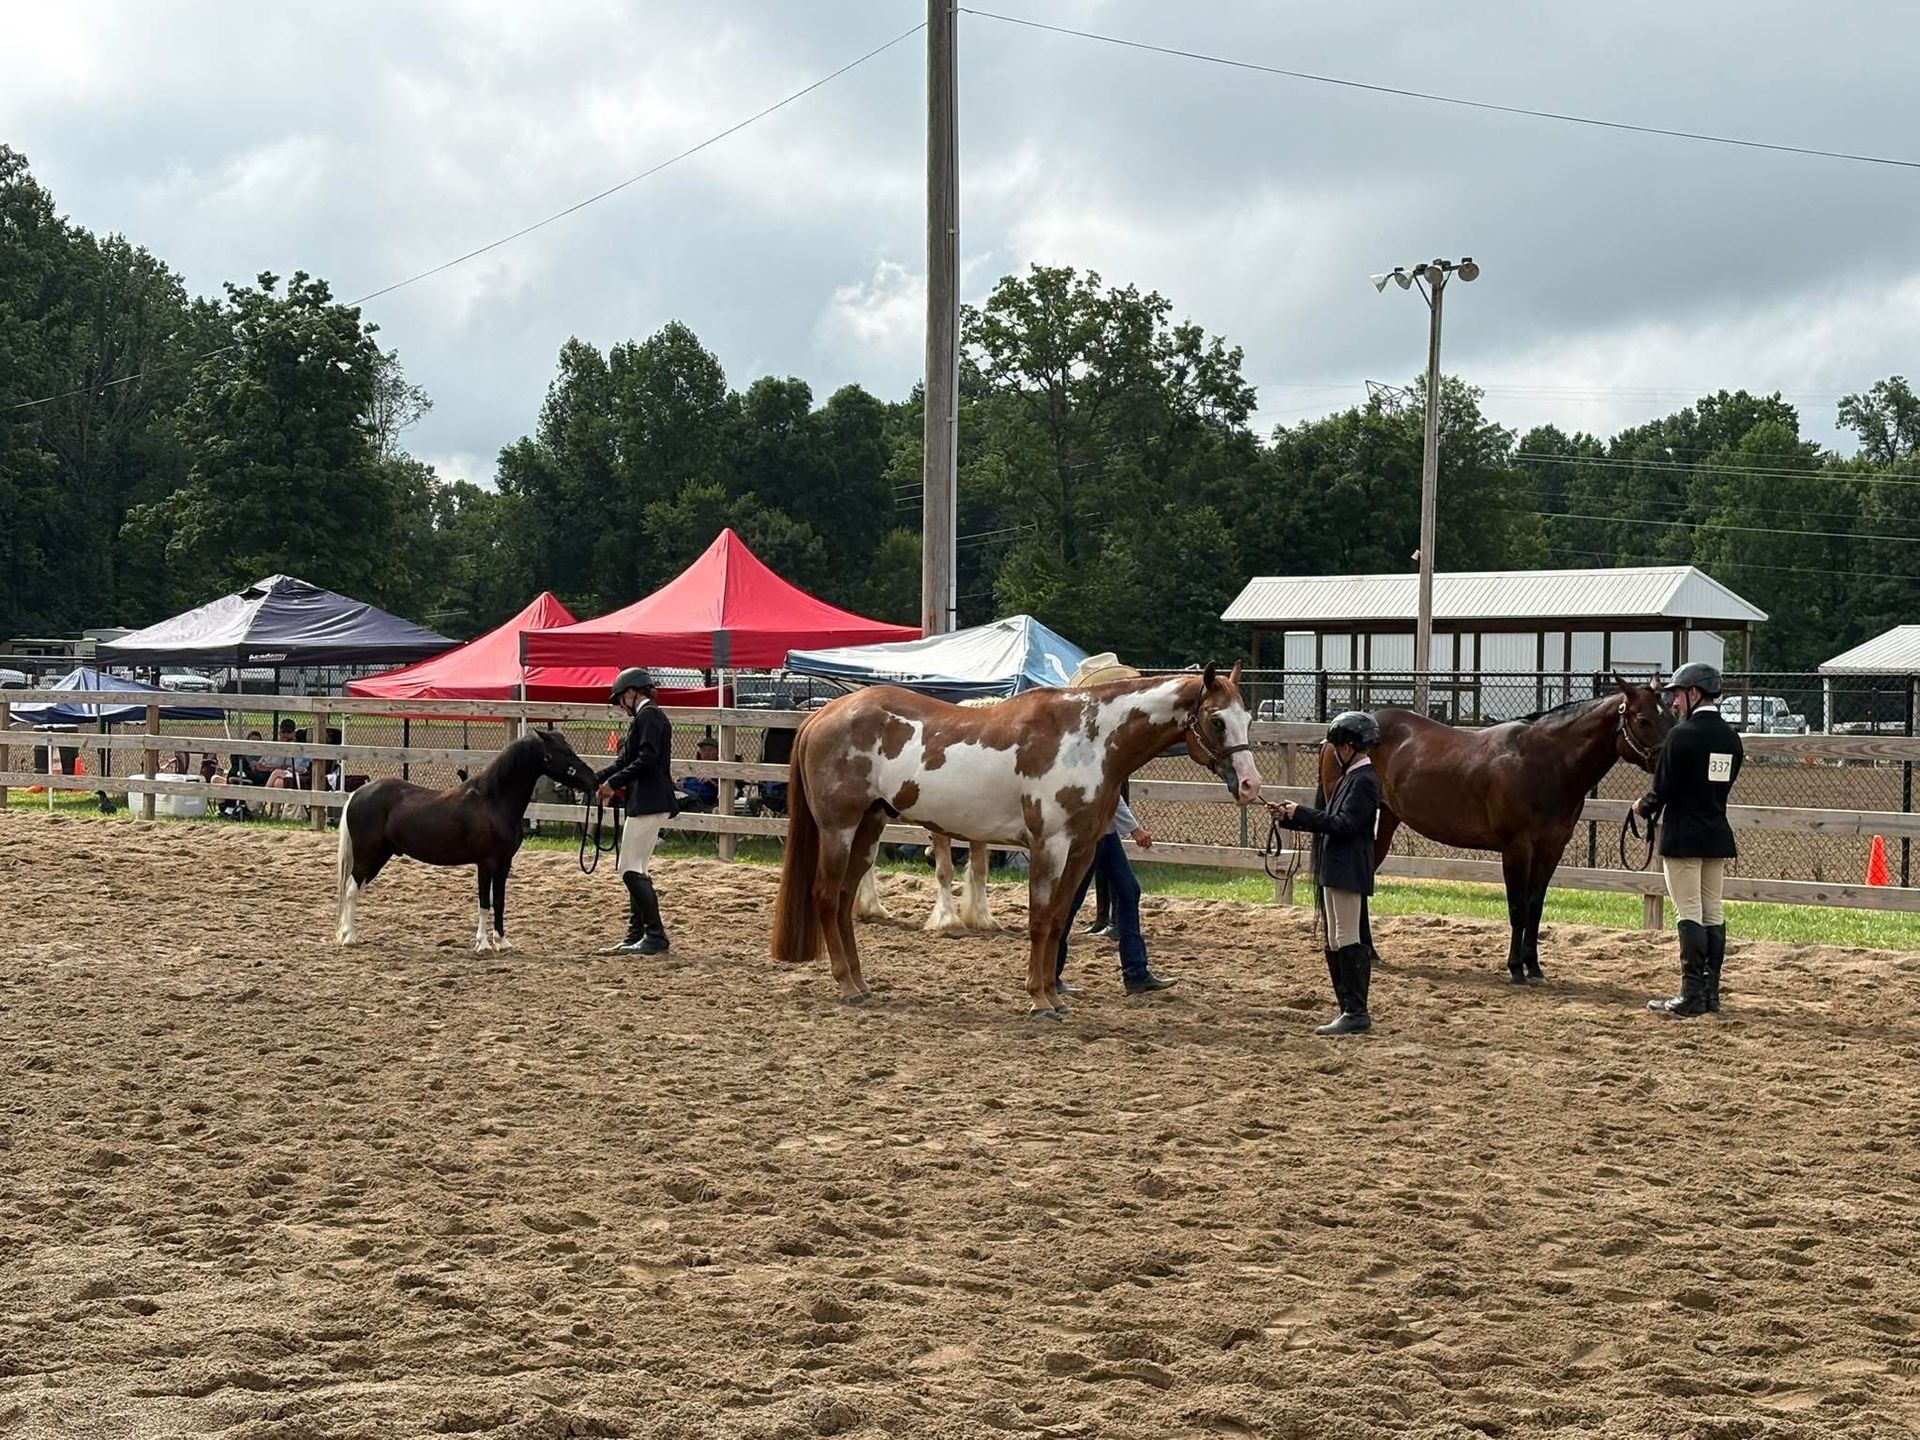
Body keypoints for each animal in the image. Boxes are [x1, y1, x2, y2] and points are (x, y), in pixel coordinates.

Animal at [335, 729, 599, 952]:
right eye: (563, 752)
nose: (594, 780)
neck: (493, 801)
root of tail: (359, 792)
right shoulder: (486, 863)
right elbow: (485, 902)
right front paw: (482, 944)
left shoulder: (505, 863)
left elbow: (499, 901)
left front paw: (502, 942)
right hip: (366, 855)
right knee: (350, 889)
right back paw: (349, 937)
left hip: (381, 855)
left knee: (355, 888)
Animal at [771, 663, 1262, 1014]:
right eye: (1217, 720)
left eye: (1247, 718)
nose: (1250, 785)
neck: (1087, 738)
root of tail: (821, 715)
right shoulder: (1049, 846)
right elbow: (1041, 920)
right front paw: (1039, 998)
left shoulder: (1081, 851)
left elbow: (1060, 919)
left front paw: (1054, 994)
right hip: (839, 829)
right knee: (826, 896)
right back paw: (845, 985)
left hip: (869, 828)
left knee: (845, 899)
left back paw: (859, 982)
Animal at [1316, 677, 1670, 984]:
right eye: (1643, 719)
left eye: (1667, 714)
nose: (1666, 761)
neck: (1546, 763)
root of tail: (1332, 737)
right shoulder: (1517, 849)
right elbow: (1517, 908)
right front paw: (1515, 968)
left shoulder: (1552, 849)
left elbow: (1534, 907)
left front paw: (1534, 967)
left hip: (1384, 823)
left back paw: (1370, 950)